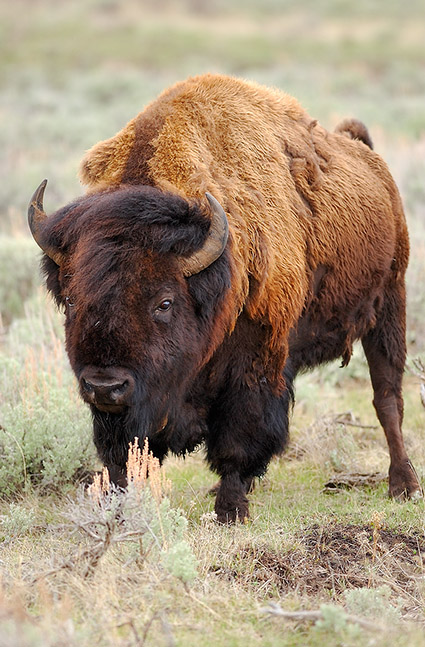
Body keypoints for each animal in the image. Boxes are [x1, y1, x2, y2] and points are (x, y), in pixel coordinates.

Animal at [29, 74, 420, 520]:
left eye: (165, 303)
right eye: (71, 300)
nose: (105, 386)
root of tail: (370, 159)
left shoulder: (255, 365)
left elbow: (237, 443)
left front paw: (230, 511)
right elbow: (121, 457)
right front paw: (117, 510)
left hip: (389, 306)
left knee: (387, 399)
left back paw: (403, 485)